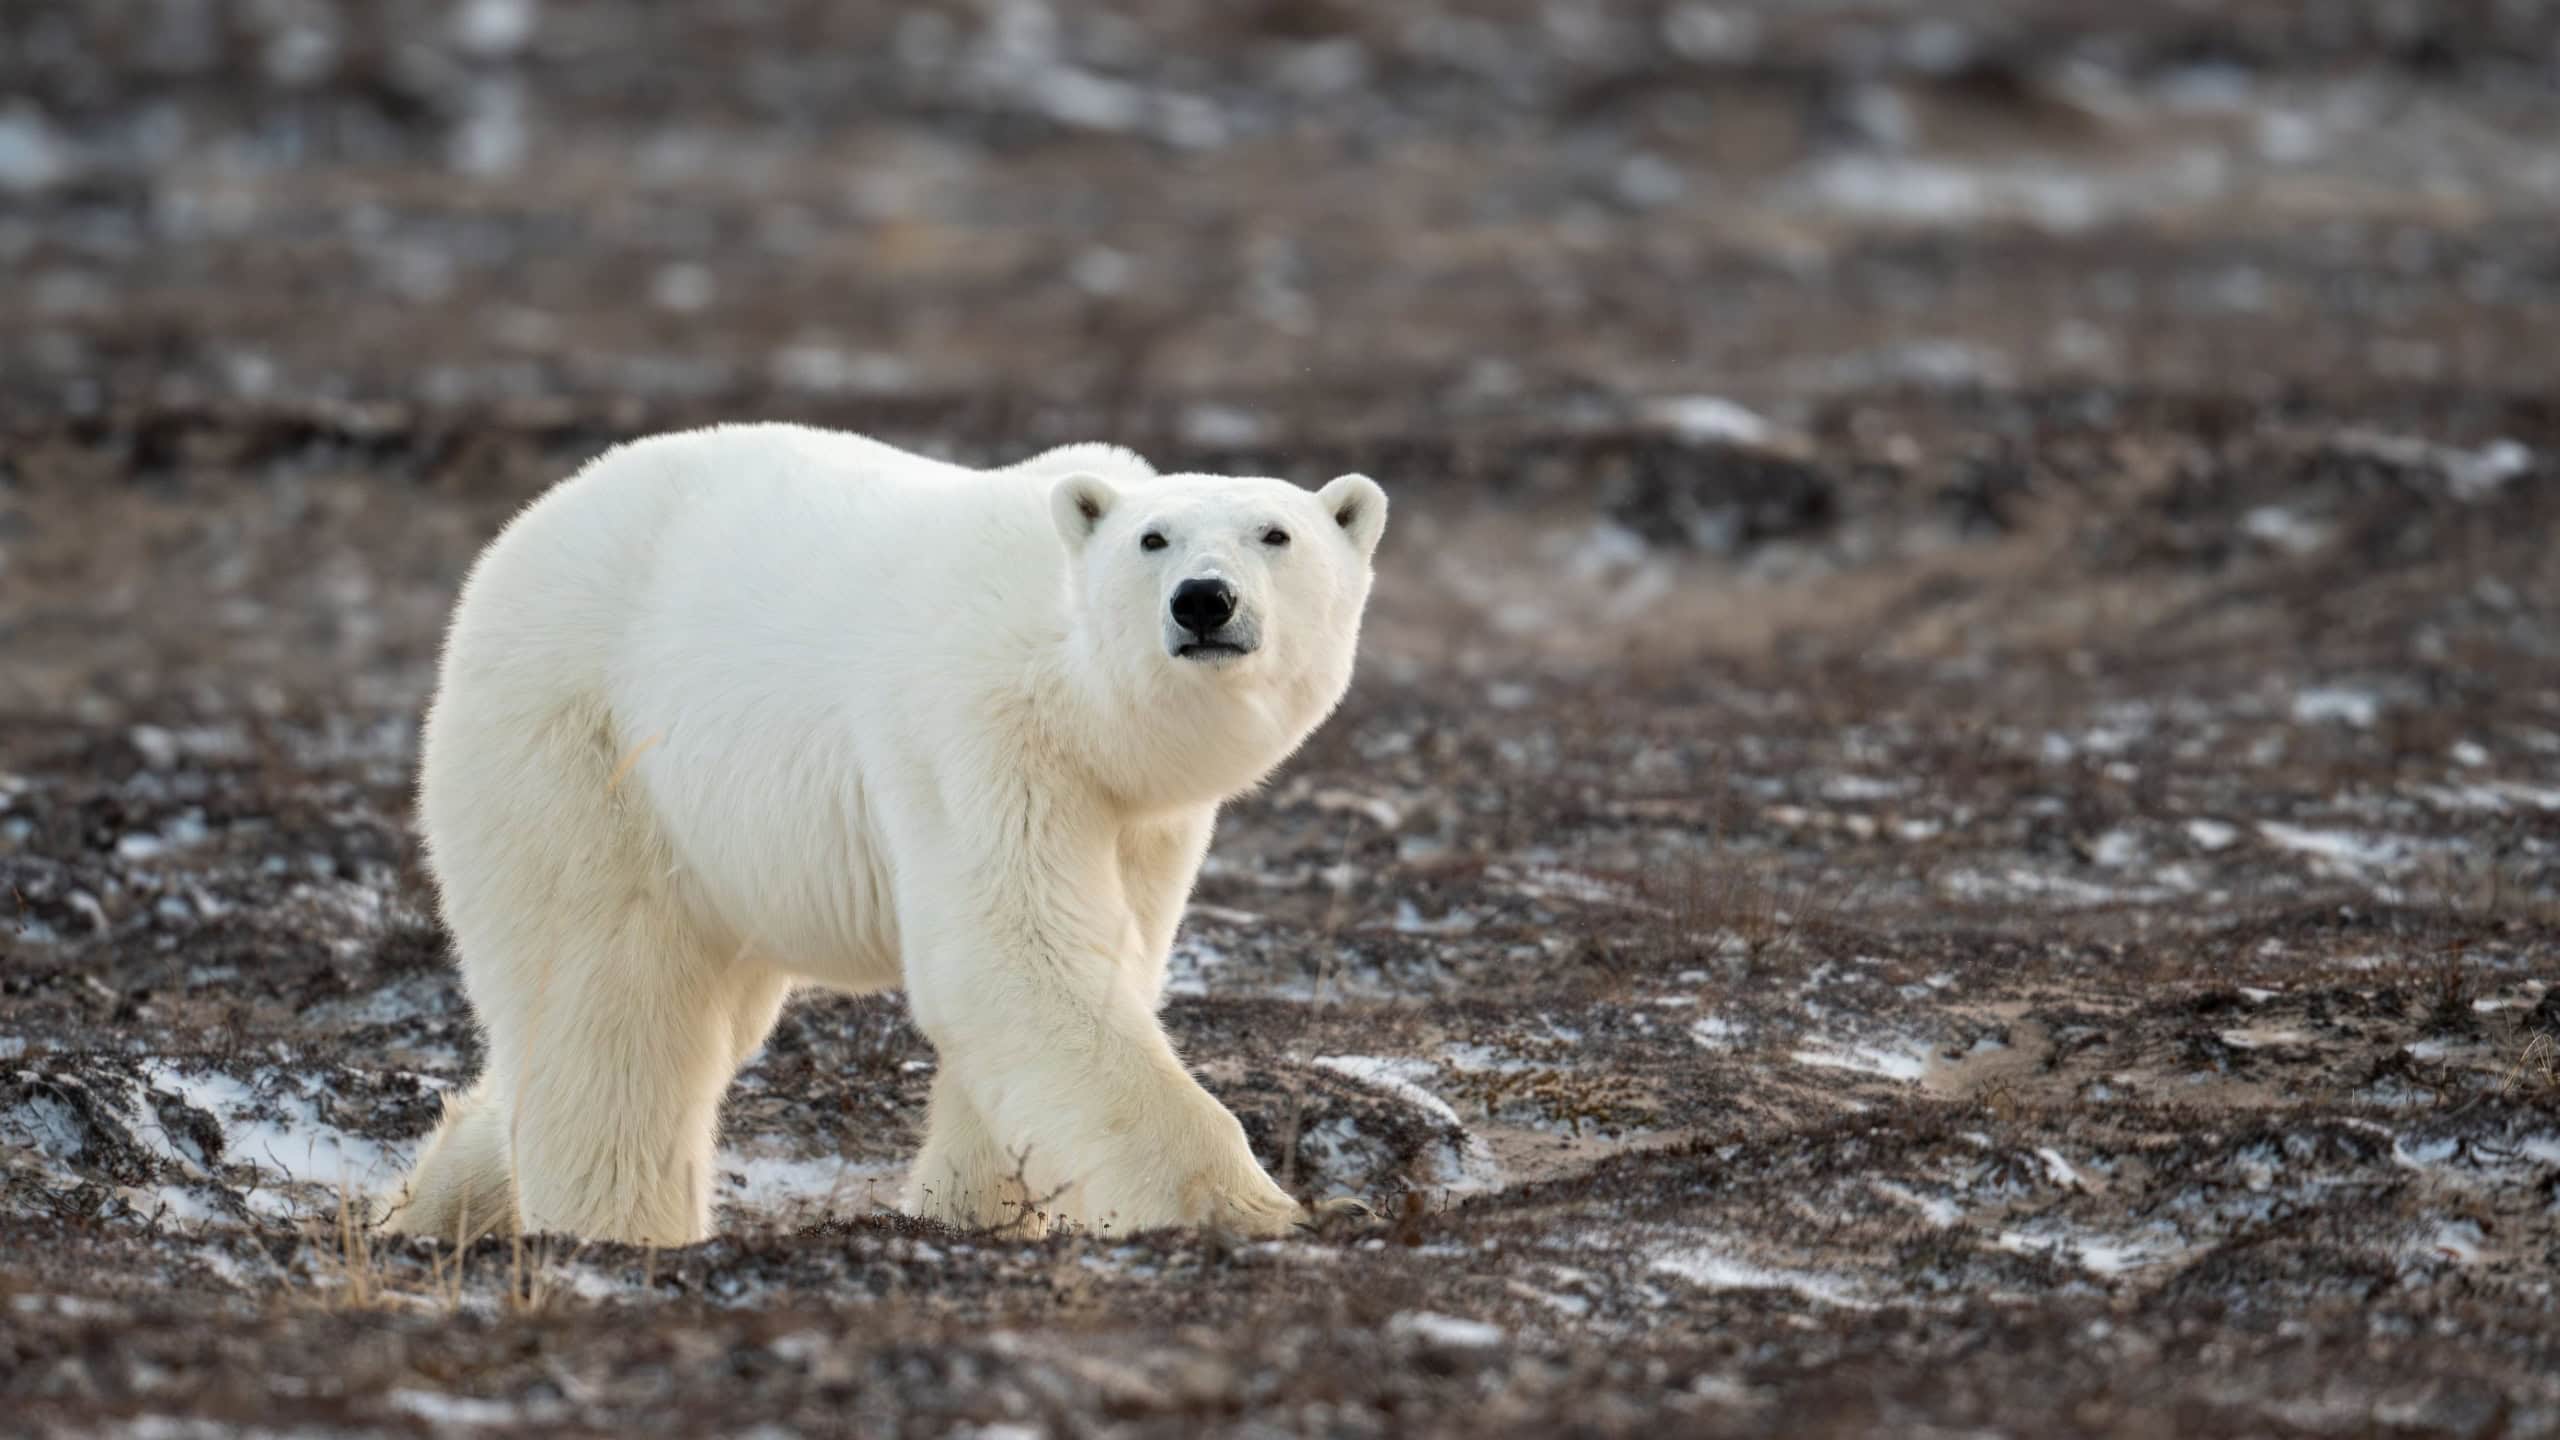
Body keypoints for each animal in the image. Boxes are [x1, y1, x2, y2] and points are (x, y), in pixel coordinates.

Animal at [384, 422, 1388, 1247]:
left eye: (1276, 534)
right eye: (1154, 539)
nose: (1204, 600)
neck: (1078, 696)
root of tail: (520, 536)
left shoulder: (1139, 813)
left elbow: (1101, 965)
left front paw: (972, 1211)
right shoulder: (980, 733)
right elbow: (1014, 956)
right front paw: (1272, 1211)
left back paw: (432, 1206)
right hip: (586, 748)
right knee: (610, 1001)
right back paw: (618, 1230)